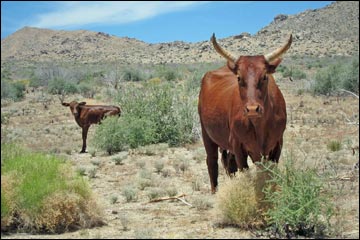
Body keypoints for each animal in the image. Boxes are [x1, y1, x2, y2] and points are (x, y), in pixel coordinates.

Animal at [198, 33, 292, 193]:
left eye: (265, 76)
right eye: (239, 77)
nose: (252, 109)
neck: (260, 125)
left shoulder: (277, 144)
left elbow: (268, 174)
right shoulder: (239, 146)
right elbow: (246, 174)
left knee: (229, 163)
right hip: (207, 134)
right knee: (212, 162)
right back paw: (215, 192)